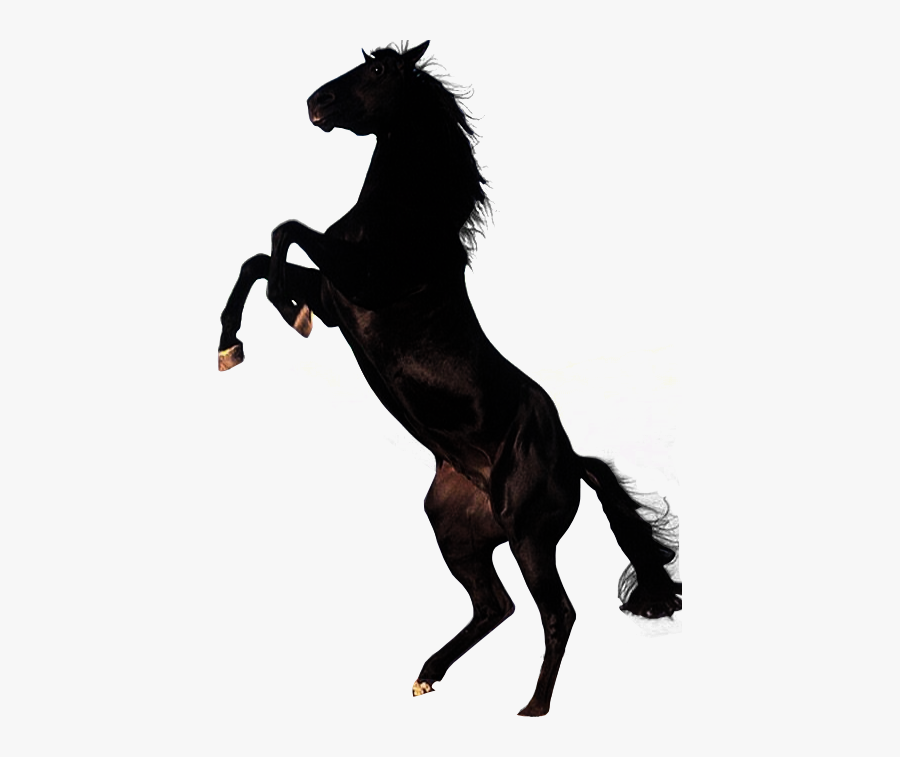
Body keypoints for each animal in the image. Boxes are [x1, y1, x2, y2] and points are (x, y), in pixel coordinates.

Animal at [217, 41, 681, 717]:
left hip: (530, 537)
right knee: (496, 606)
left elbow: (287, 233)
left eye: (377, 70)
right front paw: (231, 345)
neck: (404, 226)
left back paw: (532, 708)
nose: (314, 103)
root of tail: (573, 460)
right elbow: (259, 256)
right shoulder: (337, 299)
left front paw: (283, 312)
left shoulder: (357, 281)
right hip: (456, 532)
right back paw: (426, 675)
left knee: (556, 613)